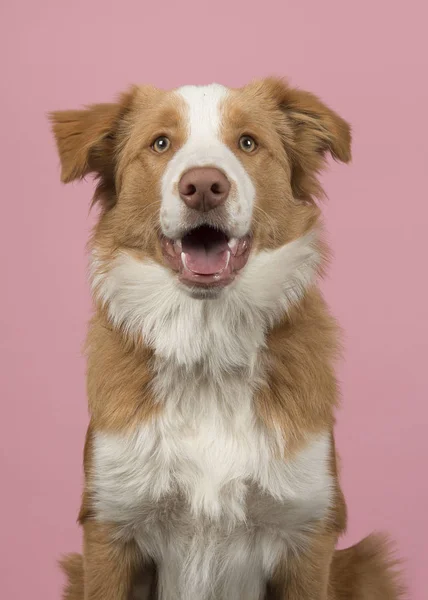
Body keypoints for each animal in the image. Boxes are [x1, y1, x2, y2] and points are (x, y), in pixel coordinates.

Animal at [49, 79, 402, 600]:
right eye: (160, 143)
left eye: (248, 142)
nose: (202, 186)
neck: (208, 350)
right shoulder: (111, 528)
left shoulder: (306, 533)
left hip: (367, 564)